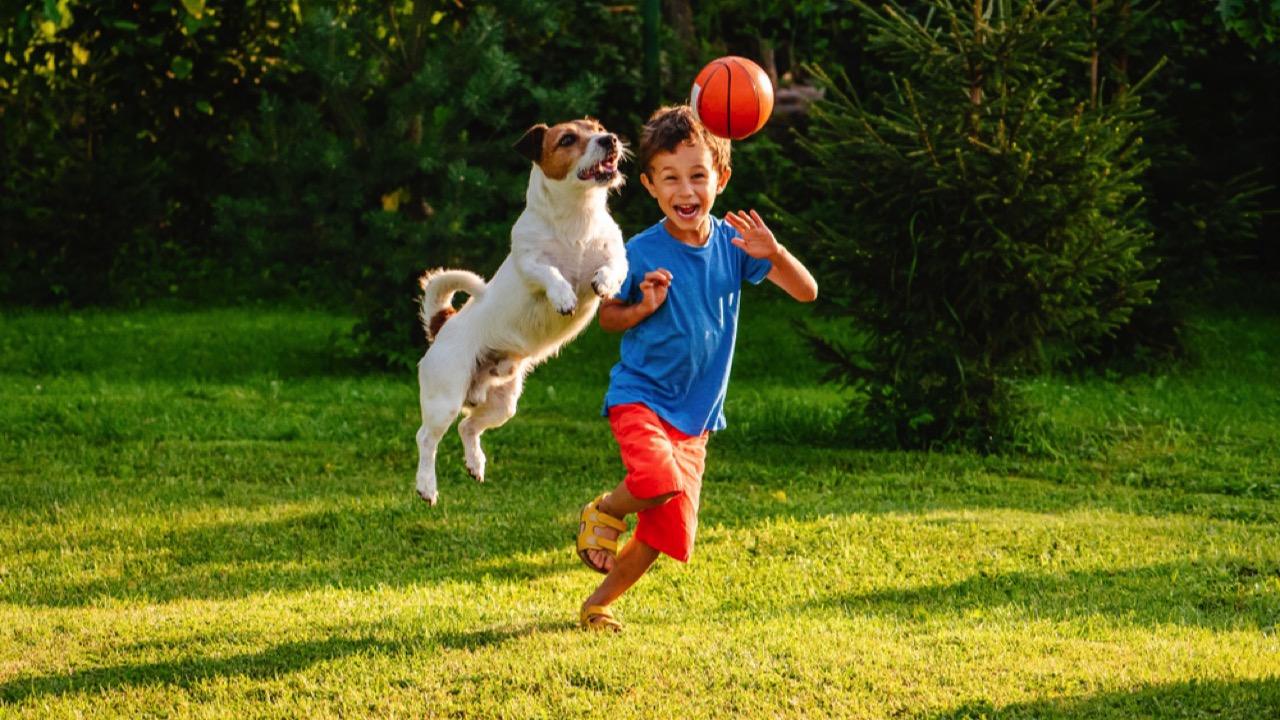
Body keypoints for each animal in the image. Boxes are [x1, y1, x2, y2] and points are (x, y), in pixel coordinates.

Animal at [412, 117, 627, 502]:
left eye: (598, 127)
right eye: (568, 139)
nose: (610, 139)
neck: (578, 217)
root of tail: (443, 324)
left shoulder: (617, 256)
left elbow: (612, 268)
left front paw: (602, 283)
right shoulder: (529, 264)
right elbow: (550, 274)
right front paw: (563, 296)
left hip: (502, 404)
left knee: (468, 426)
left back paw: (475, 463)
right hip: (444, 397)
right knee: (427, 439)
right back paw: (426, 485)